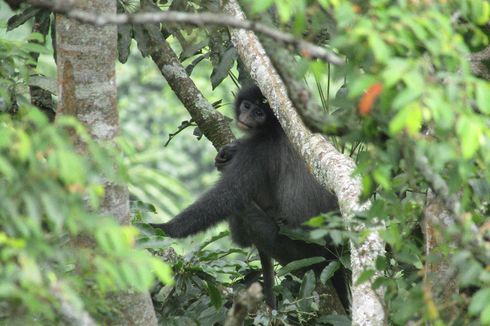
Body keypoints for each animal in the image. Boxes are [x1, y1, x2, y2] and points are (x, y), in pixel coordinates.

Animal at [152, 85, 348, 310]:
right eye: (247, 106)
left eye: (259, 113)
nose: (247, 117)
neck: (275, 128)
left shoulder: (259, 147)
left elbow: (230, 195)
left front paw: (163, 228)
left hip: (288, 247)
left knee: (241, 204)